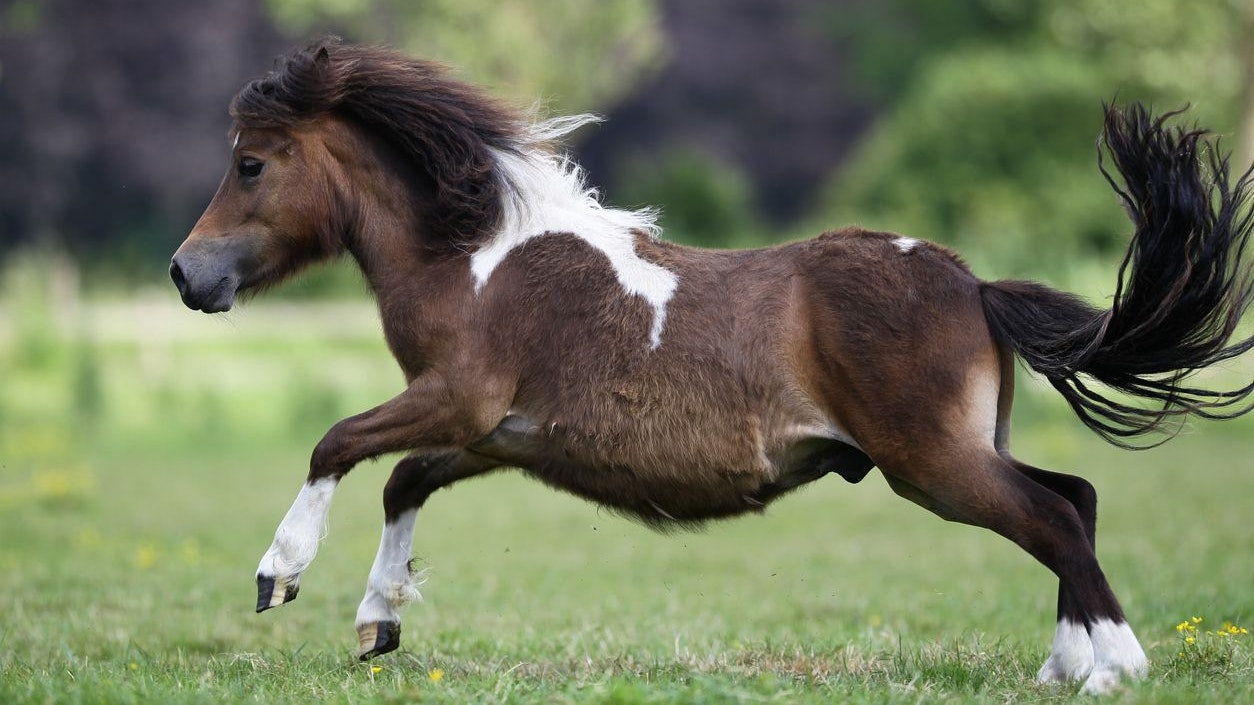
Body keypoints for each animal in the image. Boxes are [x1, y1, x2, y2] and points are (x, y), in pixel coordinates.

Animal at [169, 41, 1254, 695]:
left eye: (252, 163)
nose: (187, 274)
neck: (476, 256)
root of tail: (974, 283)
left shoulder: (457, 399)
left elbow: (335, 443)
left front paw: (280, 575)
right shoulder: (495, 434)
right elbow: (400, 479)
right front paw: (377, 622)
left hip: (934, 466)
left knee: (1056, 517)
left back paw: (1112, 666)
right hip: (961, 451)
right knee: (1076, 498)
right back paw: (1065, 666)